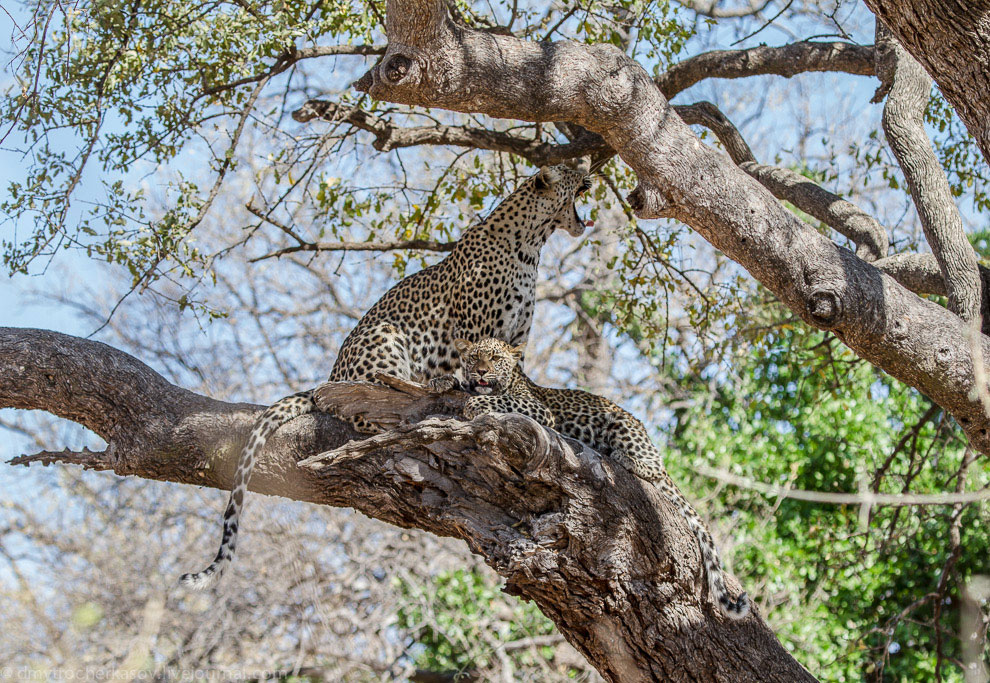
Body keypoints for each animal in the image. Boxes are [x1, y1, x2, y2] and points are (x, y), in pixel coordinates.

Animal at [182, 166, 592, 588]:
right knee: (372, 402)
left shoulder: (516, 336)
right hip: (384, 335)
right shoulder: (478, 327)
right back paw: (422, 393)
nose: (587, 168)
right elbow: (478, 368)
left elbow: (512, 374)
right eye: (569, 171)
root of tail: (328, 374)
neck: (532, 245)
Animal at [458, 336, 752, 620]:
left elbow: (502, 400)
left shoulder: (539, 410)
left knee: (656, 469)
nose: (481, 371)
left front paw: (473, 404)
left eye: (495, 358)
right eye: (474, 357)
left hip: (622, 425)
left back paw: (624, 457)